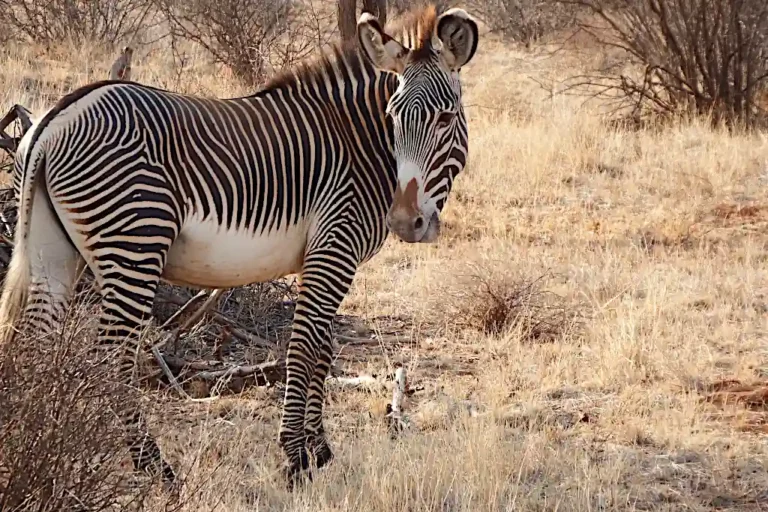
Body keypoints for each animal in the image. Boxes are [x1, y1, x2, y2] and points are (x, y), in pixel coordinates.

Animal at [0, 4, 479, 488]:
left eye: (444, 118)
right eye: (394, 117)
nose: (404, 221)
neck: (360, 146)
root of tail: (53, 120)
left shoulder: (324, 259)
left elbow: (323, 349)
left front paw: (320, 452)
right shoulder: (334, 248)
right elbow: (304, 349)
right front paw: (295, 458)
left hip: (51, 251)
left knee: (35, 342)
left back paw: (37, 441)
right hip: (134, 245)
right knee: (110, 356)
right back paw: (153, 465)